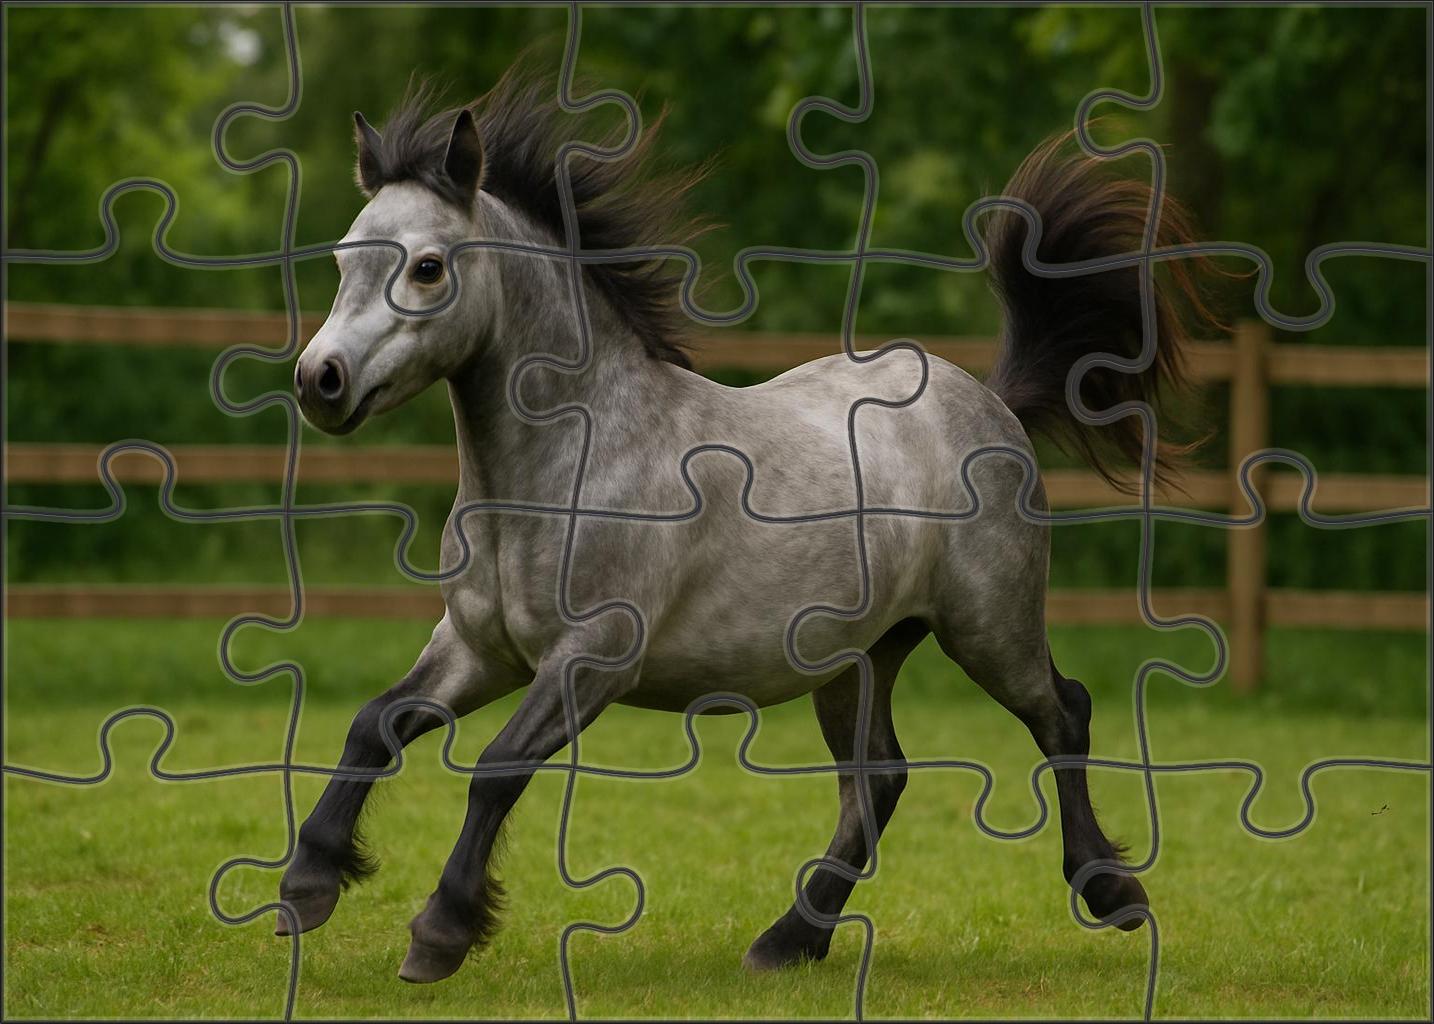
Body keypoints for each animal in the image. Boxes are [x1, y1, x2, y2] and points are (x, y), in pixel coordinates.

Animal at [282, 67, 1213, 984]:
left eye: (428, 267)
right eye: (341, 258)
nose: (319, 382)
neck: (576, 459)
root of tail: (991, 401)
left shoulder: (591, 660)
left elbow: (495, 770)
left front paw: (439, 932)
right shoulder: (481, 649)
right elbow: (375, 725)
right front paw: (307, 884)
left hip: (990, 629)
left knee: (1062, 714)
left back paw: (1111, 894)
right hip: (860, 658)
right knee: (880, 779)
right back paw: (790, 939)